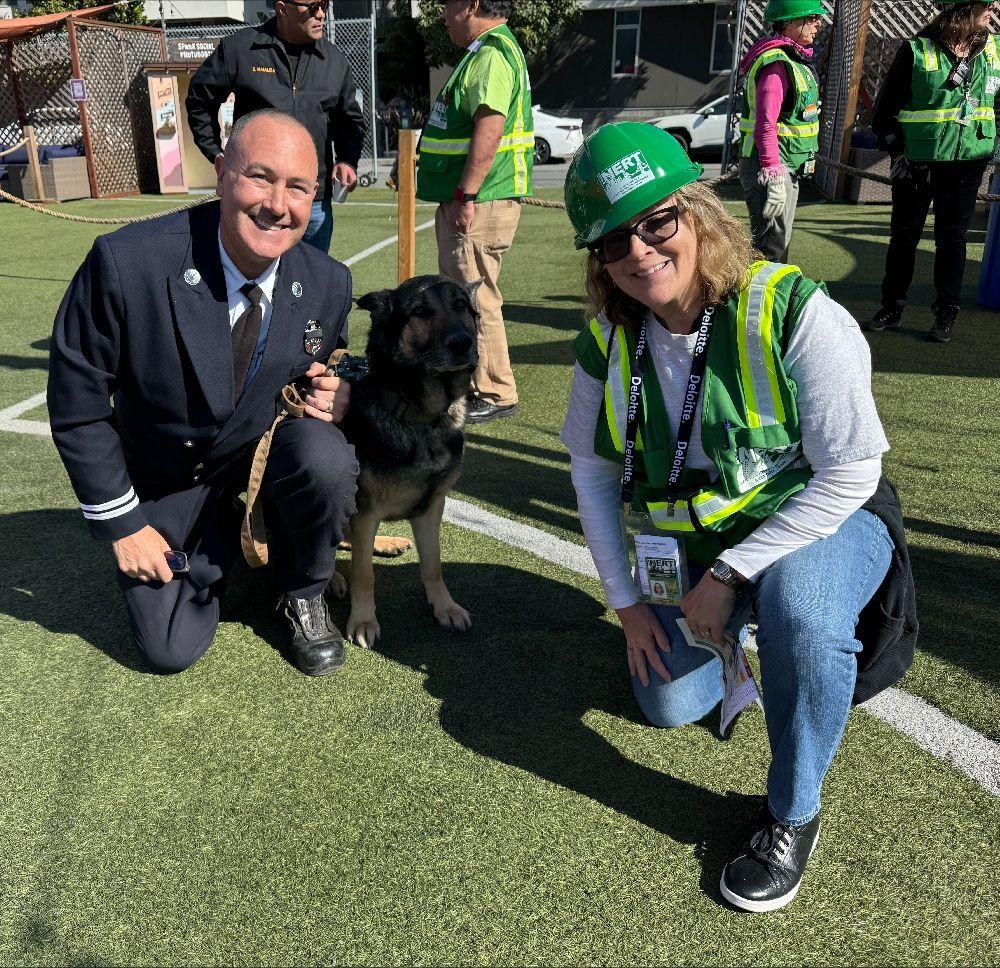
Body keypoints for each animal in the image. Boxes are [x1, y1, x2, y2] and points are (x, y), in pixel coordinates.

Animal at [330, 276, 478, 648]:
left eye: (460, 305)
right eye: (420, 312)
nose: (463, 343)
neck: (420, 418)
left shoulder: (431, 508)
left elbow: (433, 565)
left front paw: (445, 608)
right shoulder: (366, 512)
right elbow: (364, 574)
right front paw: (363, 620)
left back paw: (385, 543)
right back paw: (333, 578)